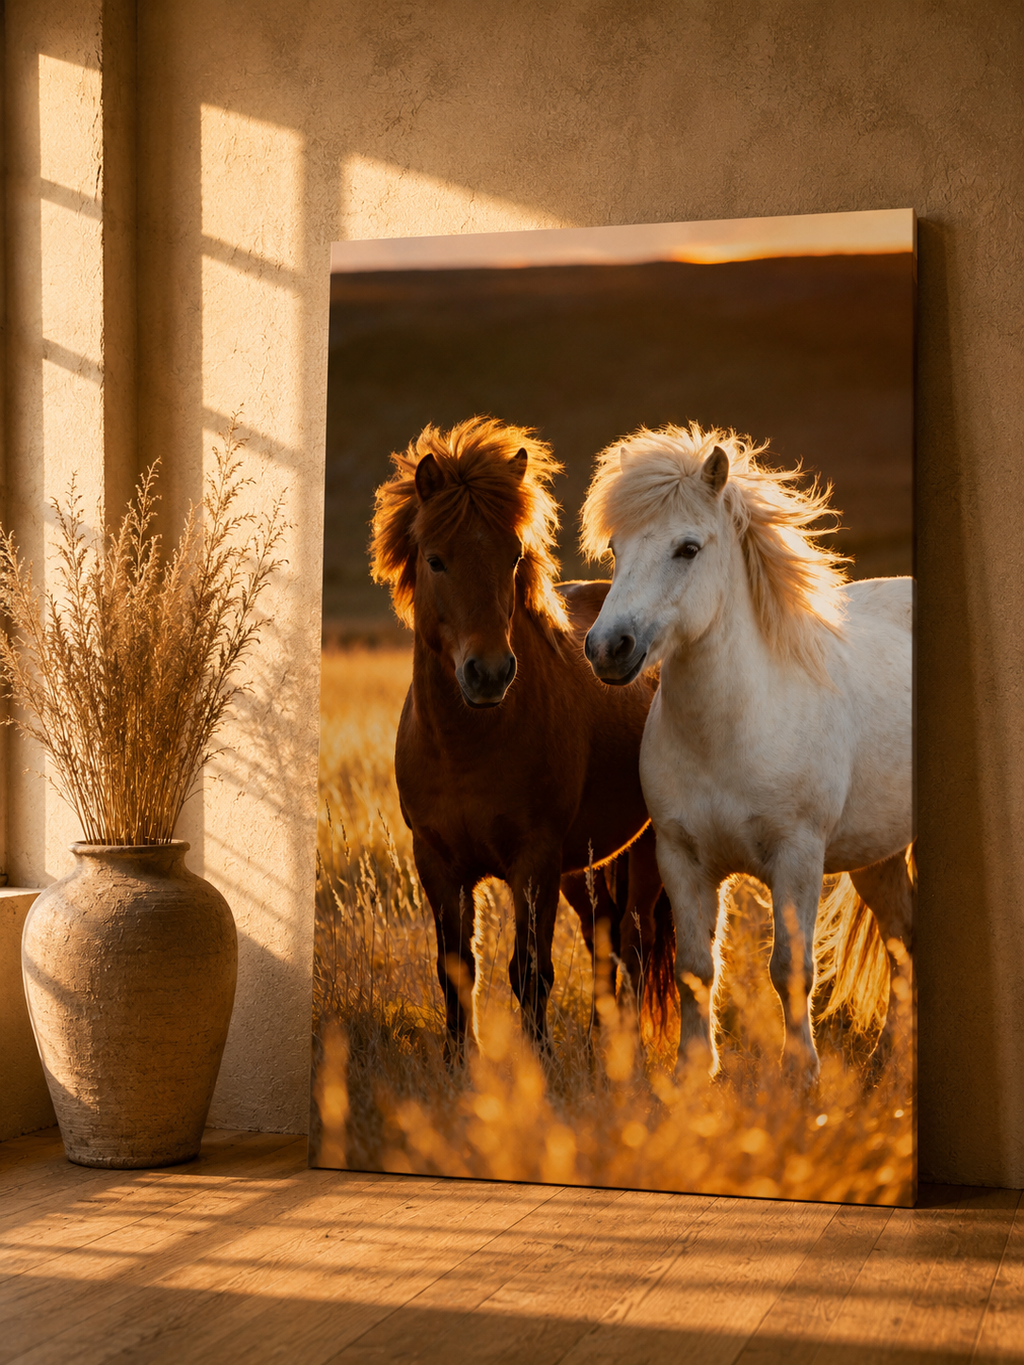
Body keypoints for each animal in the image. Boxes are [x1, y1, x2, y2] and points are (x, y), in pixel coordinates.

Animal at [370, 417, 675, 1062]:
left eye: (513, 556)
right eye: (435, 560)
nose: (488, 673)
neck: (466, 746)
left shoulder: (533, 862)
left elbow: (529, 970)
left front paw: (540, 1065)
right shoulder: (438, 863)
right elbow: (456, 969)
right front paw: (458, 1063)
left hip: (642, 849)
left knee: (634, 941)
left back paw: (629, 1054)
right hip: (583, 865)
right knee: (603, 937)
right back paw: (602, 1043)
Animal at [580, 422, 913, 1079]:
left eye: (688, 548)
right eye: (615, 551)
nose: (607, 648)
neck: (731, 734)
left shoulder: (796, 857)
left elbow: (791, 969)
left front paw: (801, 1075)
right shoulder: (682, 860)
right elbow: (695, 970)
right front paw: (691, 1073)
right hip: (879, 856)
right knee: (901, 943)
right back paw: (888, 1061)